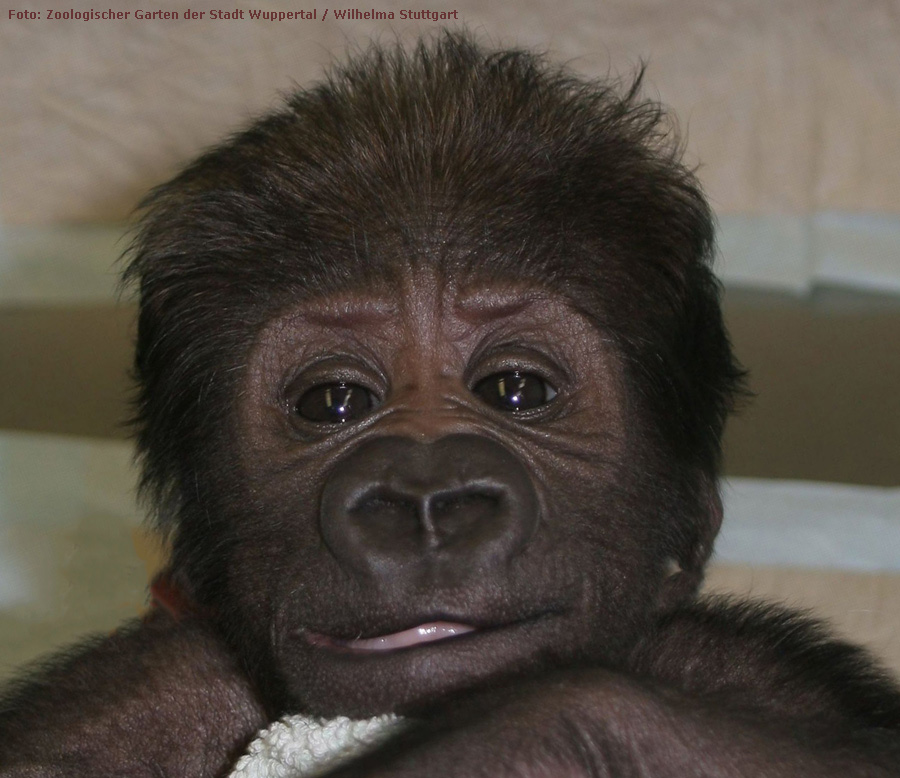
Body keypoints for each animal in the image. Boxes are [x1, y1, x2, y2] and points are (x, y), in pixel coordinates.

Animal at [1, 31, 900, 776]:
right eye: (333, 402)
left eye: (516, 390)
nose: (427, 498)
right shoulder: (135, 692)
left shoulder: (762, 673)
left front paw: (540, 734)